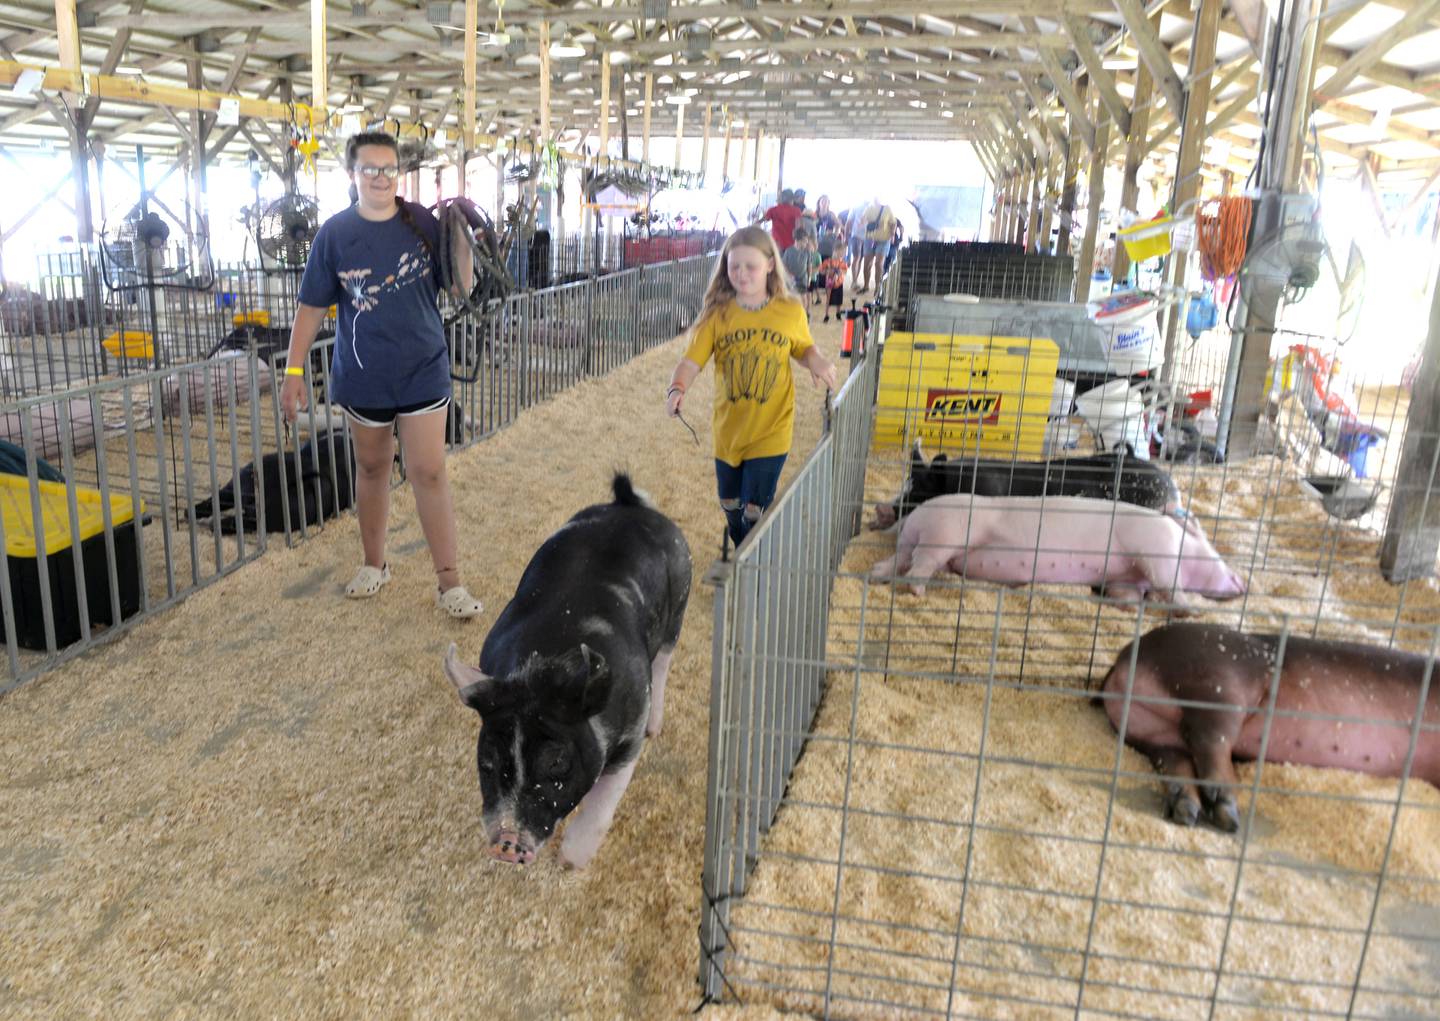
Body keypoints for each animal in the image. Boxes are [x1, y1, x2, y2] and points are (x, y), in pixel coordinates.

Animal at [440, 475, 688, 864]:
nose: (505, 844)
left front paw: (570, 861)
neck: (542, 669)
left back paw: (656, 728)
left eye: (556, 763)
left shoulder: (630, 728)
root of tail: (629, 504)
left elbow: (603, 802)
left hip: (678, 607)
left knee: (664, 662)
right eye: (487, 761)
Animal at [864, 492, 1249, 604]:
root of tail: (915, 514)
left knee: (896, 559)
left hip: (918, 539)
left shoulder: (1124, 580)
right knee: (919, 565)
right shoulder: (1154, 546)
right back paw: (916, 592)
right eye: (1218, 554)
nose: (1244, 583)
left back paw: (875, 576)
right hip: (944, 535)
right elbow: (1171, 584)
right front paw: (1192, 608)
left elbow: (1128, 596)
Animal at [1094, 622, 1434, 829]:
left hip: (1151, 729)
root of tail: (1123, 659)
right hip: (1217, 687)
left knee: (1177, 758)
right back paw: (1228, 812)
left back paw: (1188, 811)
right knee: (1209, 739)